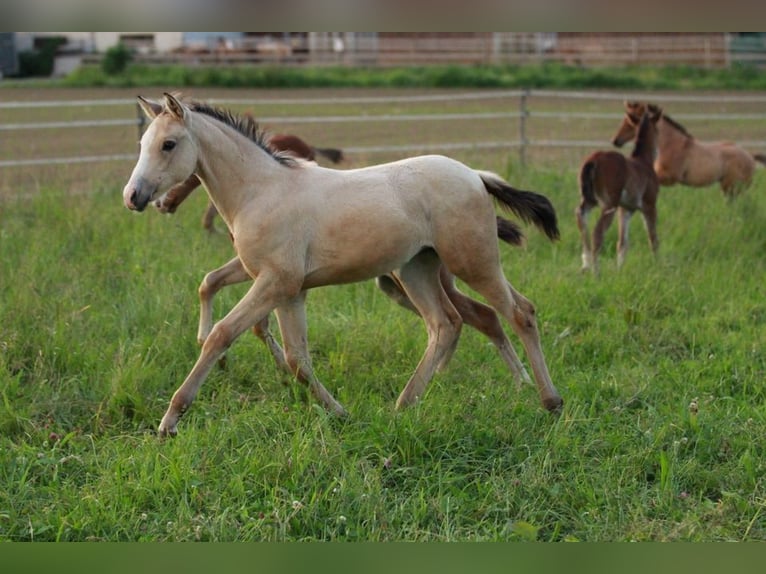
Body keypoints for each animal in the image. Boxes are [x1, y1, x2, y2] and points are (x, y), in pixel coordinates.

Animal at [121, 94, 564, 436]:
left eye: (169, 144)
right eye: (142, 143)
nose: (134, 196)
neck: (261, 192)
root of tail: (474, 174)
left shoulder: (275, 283)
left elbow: (223, 334)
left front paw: (170, 419)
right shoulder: (289, 290)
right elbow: (297, 359)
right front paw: (340, 413)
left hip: (472, 260)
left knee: (518, 312)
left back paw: (549, 400)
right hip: (416, 269)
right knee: (446, 323)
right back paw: (405, 405)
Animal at [580, 104, 664, 274]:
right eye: (657, 128)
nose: (616, 140)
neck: (644, 162)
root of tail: (593, 160)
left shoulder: (625, 209)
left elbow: (622, 243)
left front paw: (619, 270)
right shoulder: (649, 205)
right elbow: (653, 239)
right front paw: (658, 266)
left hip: (590, 200)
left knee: (581, 218)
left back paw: (585, 264)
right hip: (608, 204)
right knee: (597, 233)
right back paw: (596, 272)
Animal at [616, 103, 766, 200]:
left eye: (631, 121)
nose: (616, 140)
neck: (670, 145)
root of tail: (751, 157)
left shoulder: (671, 178)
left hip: (732, 187)